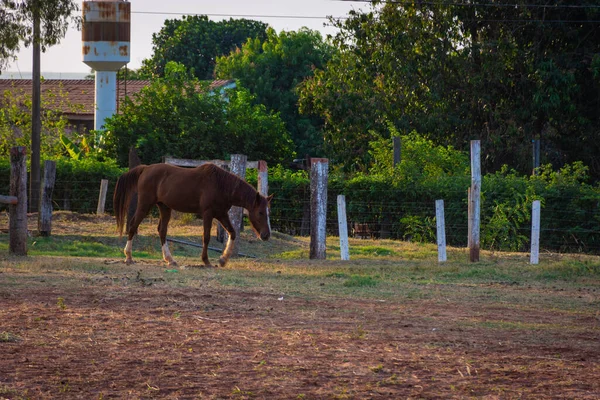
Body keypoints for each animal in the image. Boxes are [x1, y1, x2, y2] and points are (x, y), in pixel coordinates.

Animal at [113, 162, 274, 268]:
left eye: (268, 212)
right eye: (260, 212)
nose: (266, 235)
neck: (221, 185)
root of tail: (145, 168)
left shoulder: (221, 214)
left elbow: (232, 233)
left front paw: (223, 259)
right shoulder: (208, 214)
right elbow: (206, 237)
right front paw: (206, 261)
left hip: (165, 208)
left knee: (162, 231)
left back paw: (170, 259)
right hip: (145, 205)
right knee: (133, 225)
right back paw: (128, 256)